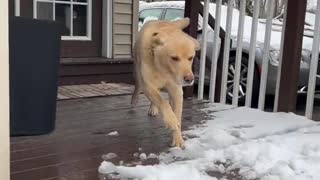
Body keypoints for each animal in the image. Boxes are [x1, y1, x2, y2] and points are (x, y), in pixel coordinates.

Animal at [131, 17, 199, 148]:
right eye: (174, 58)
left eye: (191, 58)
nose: (189, 79)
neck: (163, 68)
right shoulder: (149, 86)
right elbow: (163, 102)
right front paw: (171, 121)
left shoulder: (176, 91)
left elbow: (177, 114)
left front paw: (178, 139)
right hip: (138, 72)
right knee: (138, 86)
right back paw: (134, 100)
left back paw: (153, 108)